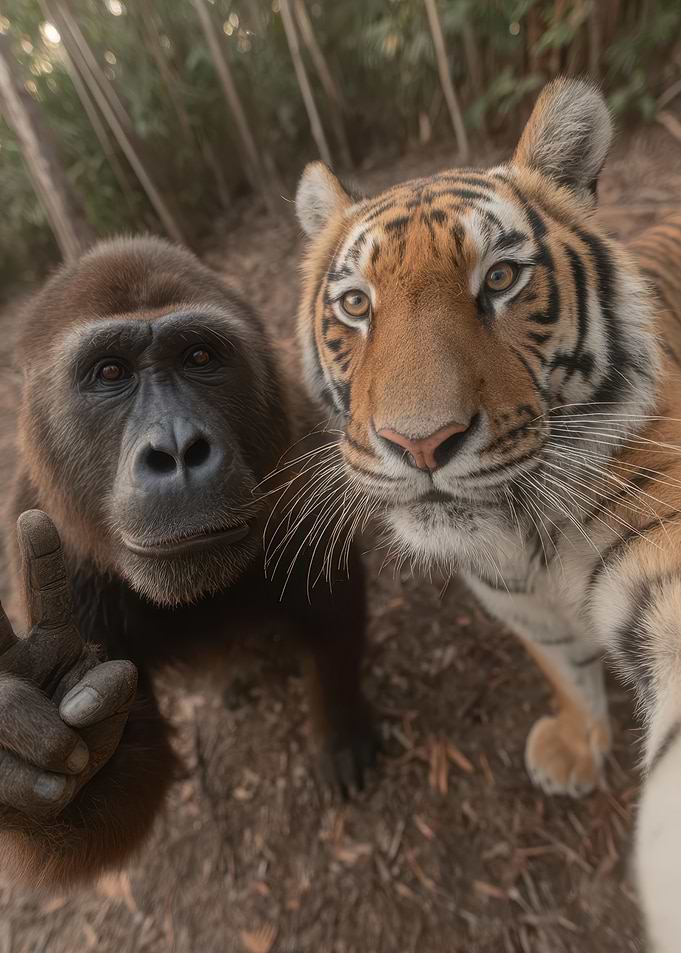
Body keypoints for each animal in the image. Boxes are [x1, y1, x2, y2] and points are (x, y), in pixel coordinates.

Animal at [0, 236, 376, 888]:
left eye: (200, 356)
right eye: (111, 372)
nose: (177, 451)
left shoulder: (298, 462)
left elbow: (333, 616)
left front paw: (340, 729)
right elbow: (114, 790)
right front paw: (31, 735)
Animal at [292, 78, 681, 951]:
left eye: (500, 278)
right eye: (355, 305)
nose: (420, 442)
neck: (524, 538)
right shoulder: (519, 606)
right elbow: (566, 673)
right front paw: (575, 746)